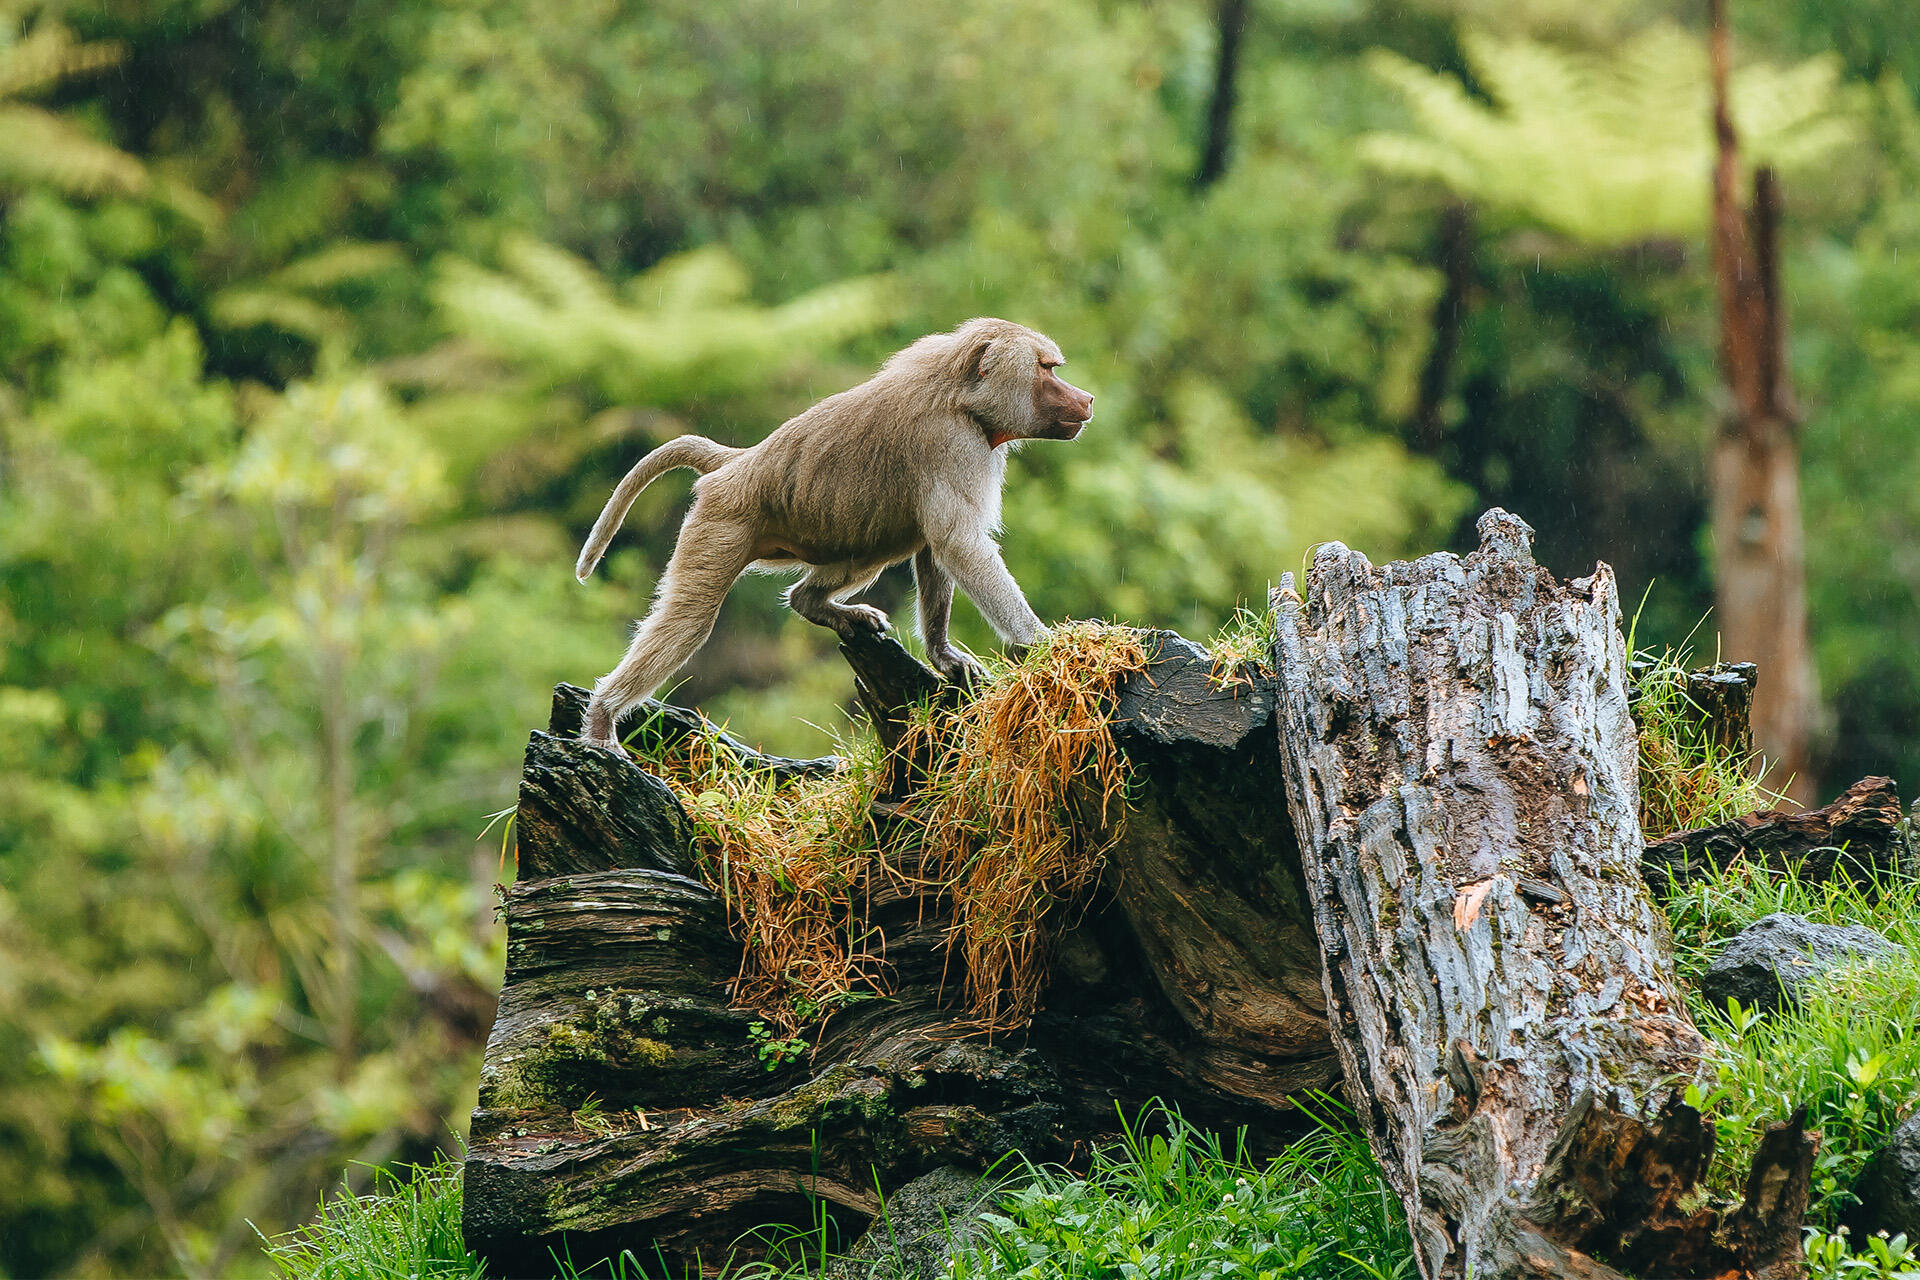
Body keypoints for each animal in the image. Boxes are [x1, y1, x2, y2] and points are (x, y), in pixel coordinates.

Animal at [572, 317, 1095, 749]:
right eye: (1047, 369)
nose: (1086, 399)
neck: (962, 395)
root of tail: (740, 462)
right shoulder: (952, 444)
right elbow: (958, 544)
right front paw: (1043, 643)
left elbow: (937, 548)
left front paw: (942, 655)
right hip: (723, 519)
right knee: (688, 620)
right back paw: (602, 717)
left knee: (880, 543)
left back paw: (817, 605)